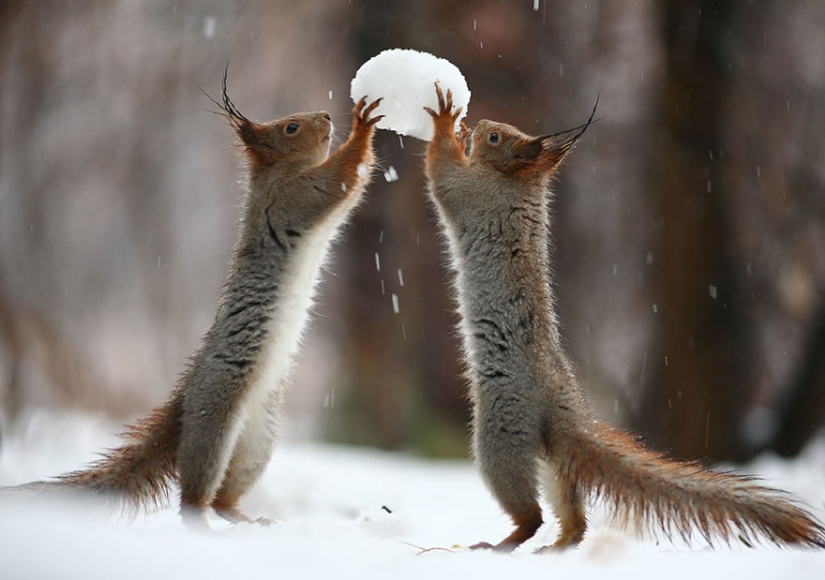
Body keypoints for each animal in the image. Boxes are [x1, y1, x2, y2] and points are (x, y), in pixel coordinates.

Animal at [5, 76, 384, 532]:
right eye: (291, 127)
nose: (327, 115)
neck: (277, 173)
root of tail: (183, 403)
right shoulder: (295, 198)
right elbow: (341, 180)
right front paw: (363, 125)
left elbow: (354, 189)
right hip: (214, 423)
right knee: (193, 498)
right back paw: (206, 527)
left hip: (257, 442)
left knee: (224, 497)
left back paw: (246, 519)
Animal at [424, 84, 824, 552]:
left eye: (495, 137)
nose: (481, 124)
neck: (518, 183)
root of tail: (564, 408)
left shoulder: (471, 194)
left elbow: (441, 174)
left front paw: (446, 122)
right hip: (550, 455)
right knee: (573, 515)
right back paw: (560, 544)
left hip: (500, 435)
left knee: (531, 512)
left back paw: (504, 543)